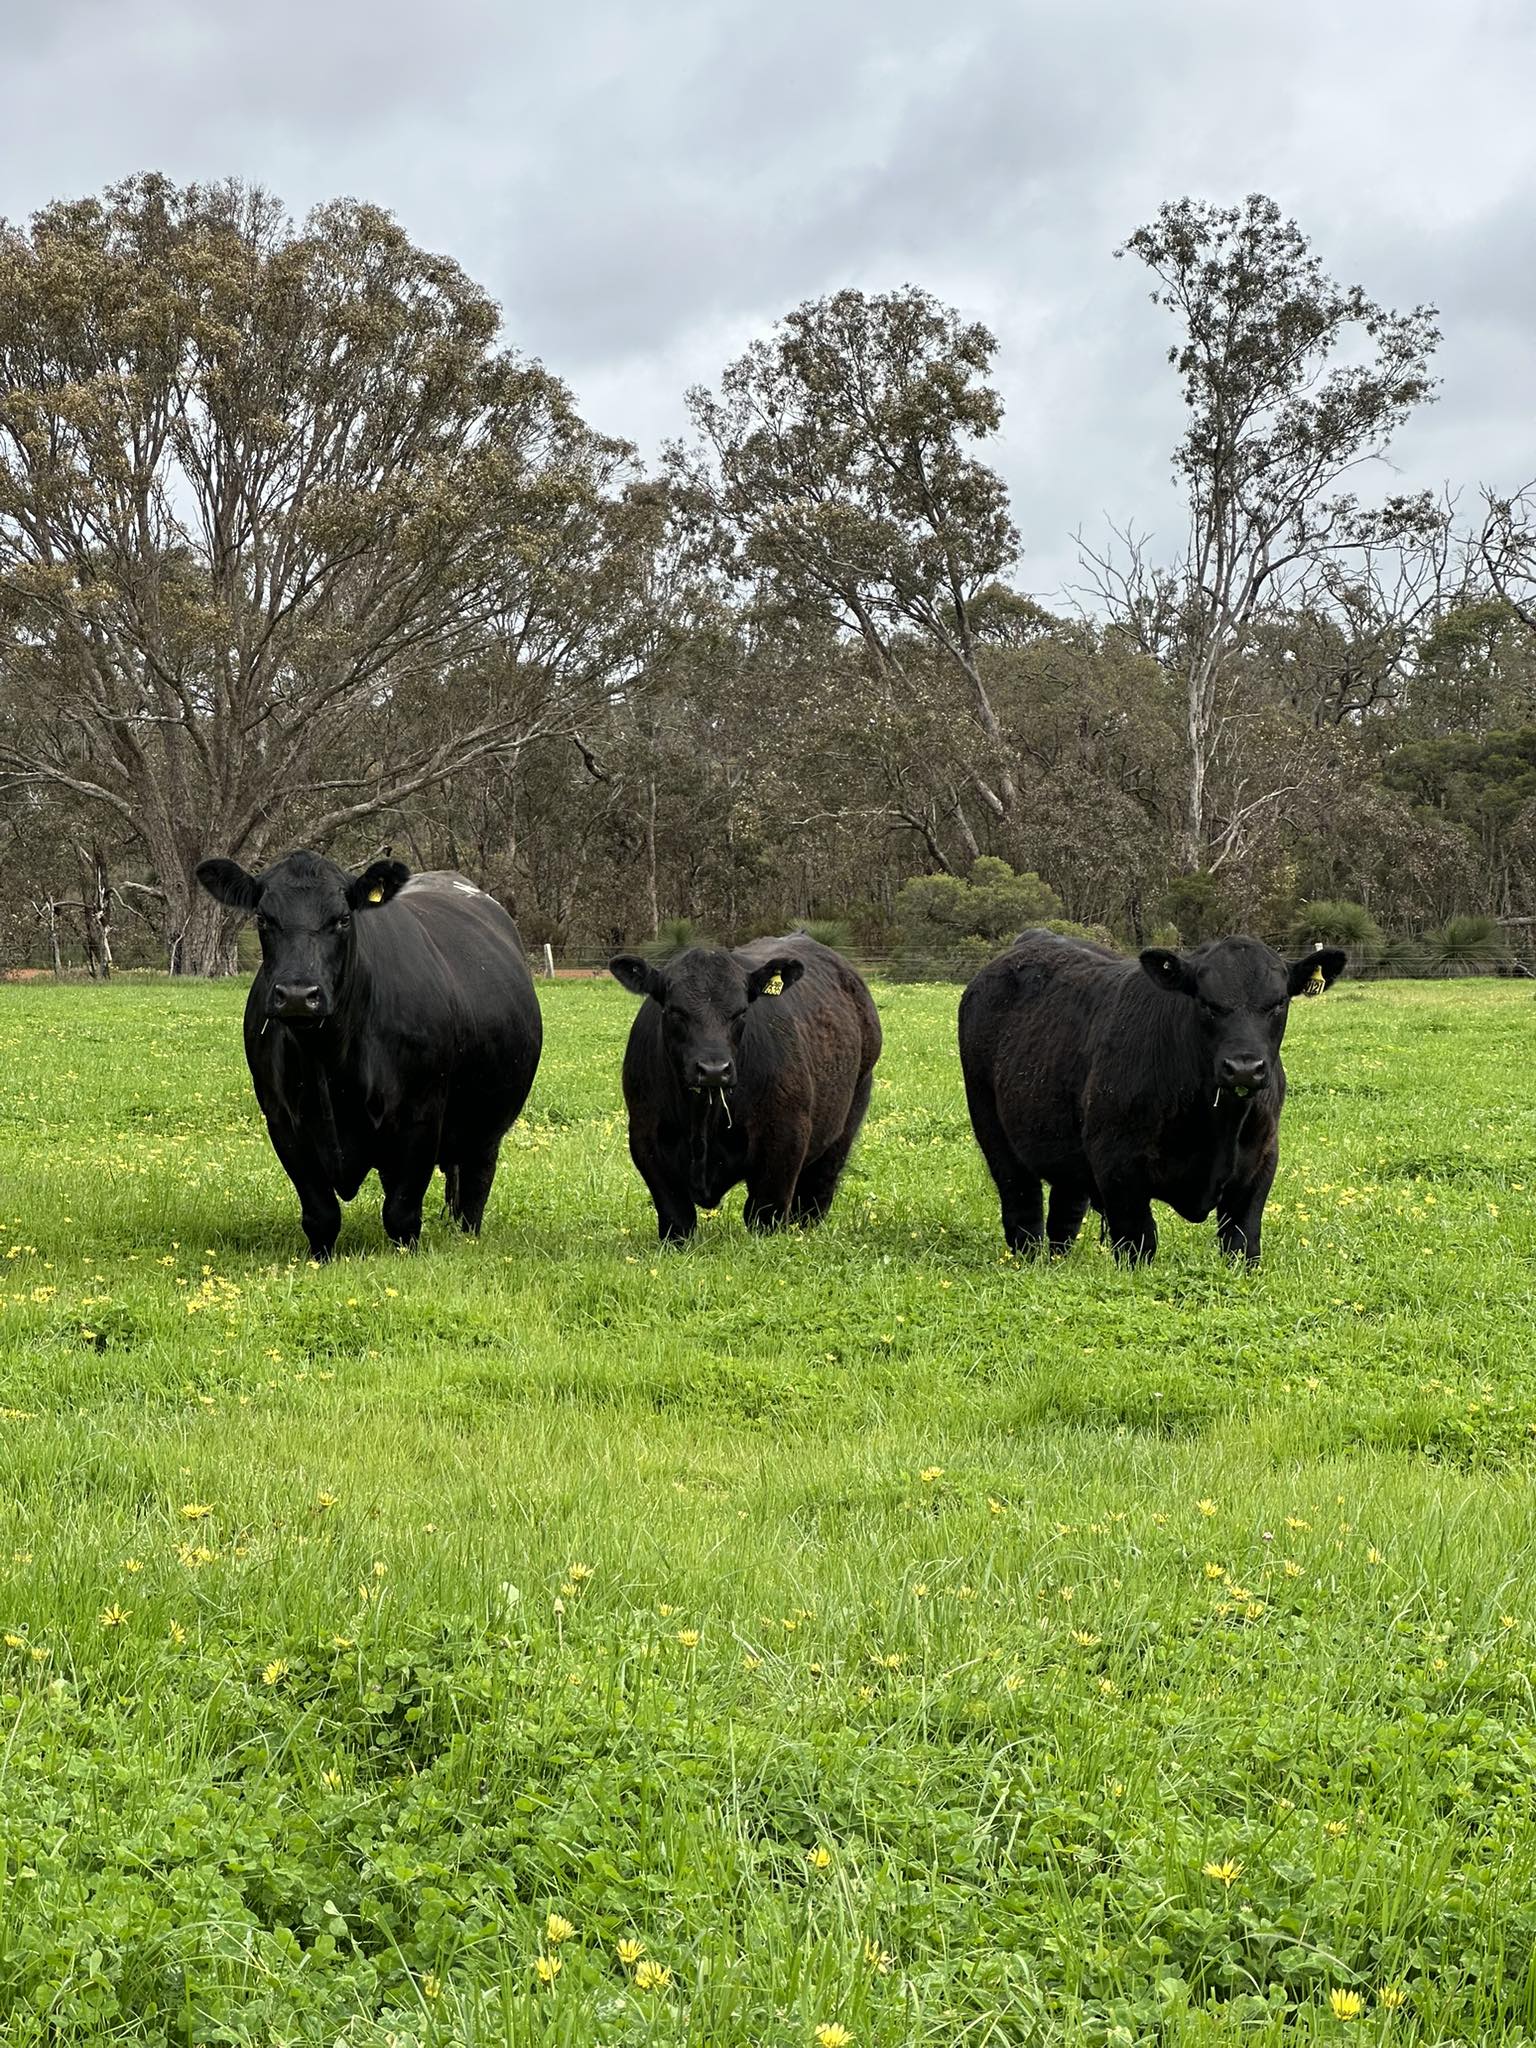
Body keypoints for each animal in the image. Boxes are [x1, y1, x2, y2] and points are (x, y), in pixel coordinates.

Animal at [196, 850, 542, 1259]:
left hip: (487, 1124)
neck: (329, 1061)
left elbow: (401, 1213)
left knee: (474, 1188)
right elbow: (320, 1213)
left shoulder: (421, 1116)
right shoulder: (284, 1122)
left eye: (343, 918)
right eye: (264, 918)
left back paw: (466, 1236)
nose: (297, 994)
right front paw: (319, 1261)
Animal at [608, 936, 882, 1243]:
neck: (703, 1119)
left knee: (815, 1193)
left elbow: (765, 1213)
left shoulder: (784, 1135)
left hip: (849, 1114)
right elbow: (677, 1217)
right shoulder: (646, 1138)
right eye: (675, 1011)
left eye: (741, 1011)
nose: (714, 1069)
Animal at [957, 930, 1346, 1266]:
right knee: (1022, 1210)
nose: (1244, 1067)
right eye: (1207, 1004)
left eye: (1278, 1003)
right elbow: (1137, 1245)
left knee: (1064, 1215)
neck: (1217, 1124)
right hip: (993, 1131)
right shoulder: (1118, 1168)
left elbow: (1242, 1245)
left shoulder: (1259, 1165)